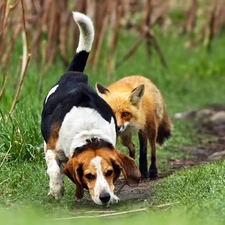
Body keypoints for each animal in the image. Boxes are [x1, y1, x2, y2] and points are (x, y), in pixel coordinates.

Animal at [40, 12, 141, 206]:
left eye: (109, 172)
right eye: (89, 176)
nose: (105, 197)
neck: (89, 134)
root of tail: (75, 75)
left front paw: (113, 195)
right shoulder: (52, 149)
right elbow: (54, 170)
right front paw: (56, 189)